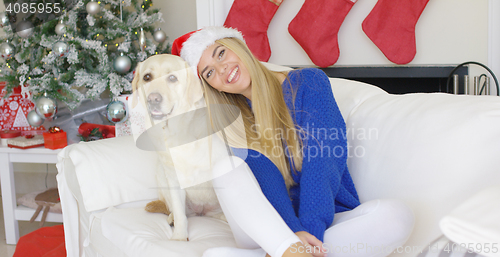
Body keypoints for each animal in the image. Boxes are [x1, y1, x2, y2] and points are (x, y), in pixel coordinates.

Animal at [132, 53, 228, 240]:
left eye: (172, 78)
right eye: (147, 77)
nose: (153, 99)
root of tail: (202, 212)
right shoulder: (173, 177)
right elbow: (179, 211)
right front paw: (179, 238)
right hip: (161, 174)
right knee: (176, 210)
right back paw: (172, 219)